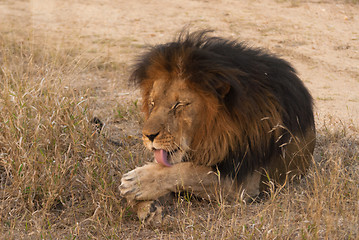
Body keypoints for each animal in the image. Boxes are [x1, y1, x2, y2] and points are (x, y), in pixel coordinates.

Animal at [119, 30, 316, 225]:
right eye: (153, 103)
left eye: (179, 104)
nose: (148, 136)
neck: (211, 135)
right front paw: (146, 206)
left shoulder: (244, 185)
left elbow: (191, 172)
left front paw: (136, 182)